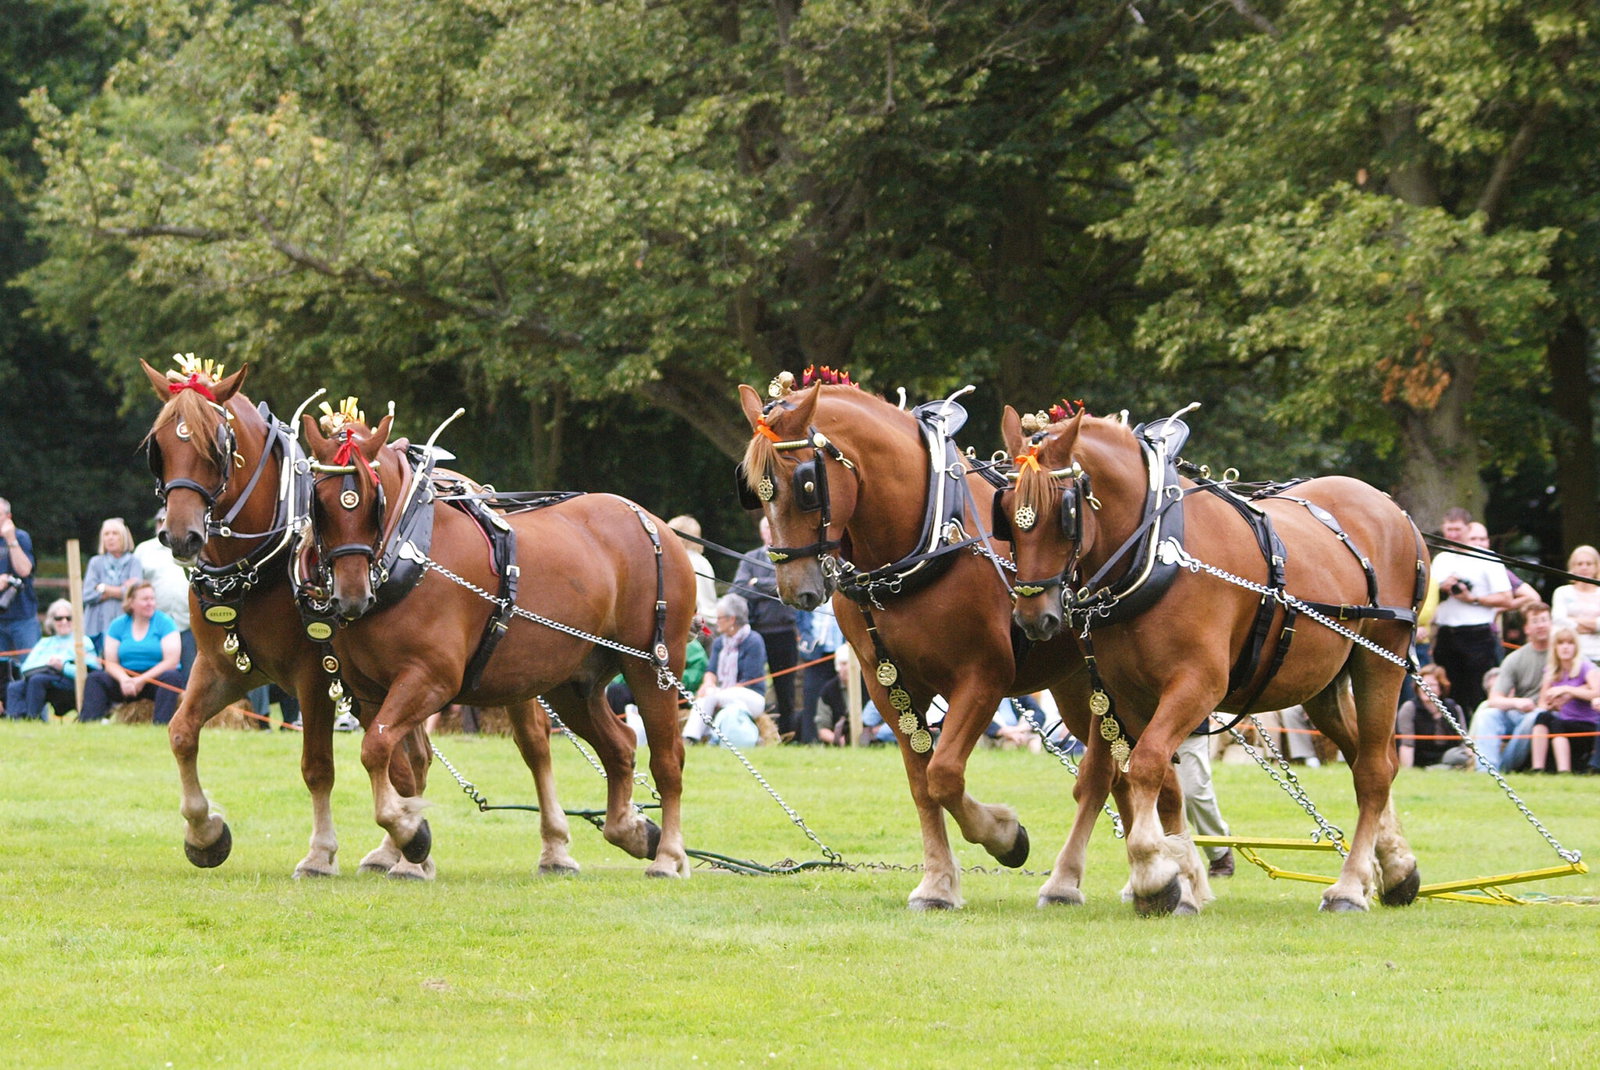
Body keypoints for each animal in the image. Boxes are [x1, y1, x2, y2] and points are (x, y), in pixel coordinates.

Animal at [141, 359, 579, 880]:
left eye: (217, 445)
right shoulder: (221, 667)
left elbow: (317, 766)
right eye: (158, 447)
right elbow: (181, 734)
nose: (181, 535)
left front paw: (320, 854)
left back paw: (553, 848)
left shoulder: (315, 676)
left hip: (506, 667)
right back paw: (400, 850)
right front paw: (204, 833)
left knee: (532, 743)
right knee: (412, 758)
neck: (260, 561)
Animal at [298, 407, 696, 878]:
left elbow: (376, 748)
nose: (352, 595)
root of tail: (656, 525)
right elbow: (392, 763)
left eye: (370, 499)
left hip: (651, 666)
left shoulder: (431, 680)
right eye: (319, 502)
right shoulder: (371, 691)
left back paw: (669, 855)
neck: (408, 549)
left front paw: (407, 832)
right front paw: (410, 837)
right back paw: (628, 829)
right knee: (620, 745)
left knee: (667, 759)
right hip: (572, 683)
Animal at [736, 374, 1197, 912]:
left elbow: (945, 774)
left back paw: (1122, 879)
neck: (926, 535)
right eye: (753, 488)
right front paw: (938, 882)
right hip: (1083, 690)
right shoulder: (888, 686)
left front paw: (1004, 835)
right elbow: (922, 784)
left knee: (1111, 777)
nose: (796, 589)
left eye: (808, 485)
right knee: (1126, 777)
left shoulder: (983, 677)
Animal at [997, 402, 1428, 912]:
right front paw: (1083, 879)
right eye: (1006, 514)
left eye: (1062, 515)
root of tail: (1391, 507)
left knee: (1374, 771)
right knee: (1367, 755)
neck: (1155, 550)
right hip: (1321, 683)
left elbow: (1146, 764)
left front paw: (1153, 872)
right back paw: (1395, 866)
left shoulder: (1198, 686)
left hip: (1381, 660)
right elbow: (1115, 777)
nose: (1032, 617)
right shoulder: (1117, 691)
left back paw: (1349, 886)